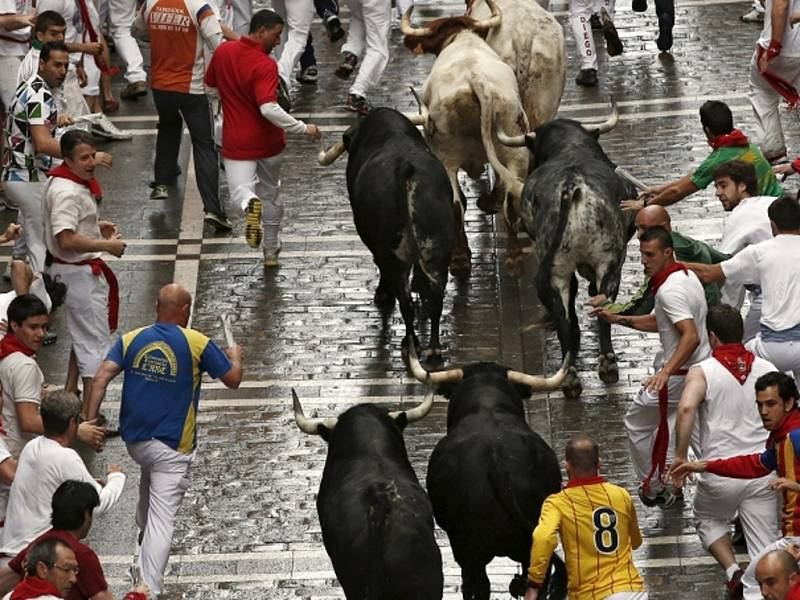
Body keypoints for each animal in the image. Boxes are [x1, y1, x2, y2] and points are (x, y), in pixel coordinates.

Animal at [318, 106, 456, 364]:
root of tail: (407, 168)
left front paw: (382, 295)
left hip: (393, 255)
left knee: (406, 302)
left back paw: (410, 342)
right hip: (438, 251)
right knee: (436, 297)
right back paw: (433, 348)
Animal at [404, 0, 528, 276]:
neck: (462, 40)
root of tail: (476, 81)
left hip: (445, 157)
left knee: (455, 204)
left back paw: (459, 258)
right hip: (515, 149)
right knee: (511, 197)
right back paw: (514, 255)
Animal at [496, 102, 636, 400]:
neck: (569, 145)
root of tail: (574, 186)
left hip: (560, 270)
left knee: (564, 317)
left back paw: (572, 376)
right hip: (608, 264)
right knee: (596, 307)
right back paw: (604, 366)